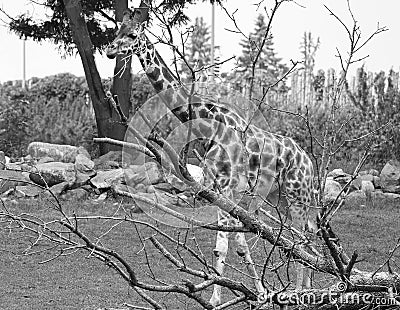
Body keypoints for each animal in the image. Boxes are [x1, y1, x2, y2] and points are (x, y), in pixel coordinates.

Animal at [107, 9, 318, 306]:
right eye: (117, 30)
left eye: (132, 34)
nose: (109, 50)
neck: (207, 122)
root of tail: (308, 161)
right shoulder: (217, 188)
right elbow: (236, 244)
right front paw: (259, 292)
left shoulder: (227, 186)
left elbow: (223, 244)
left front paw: (216, 299)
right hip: (283, 197)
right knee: (305, 238)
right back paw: (308, 289)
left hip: (297, 193)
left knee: (300, 239)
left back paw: (300, 292)